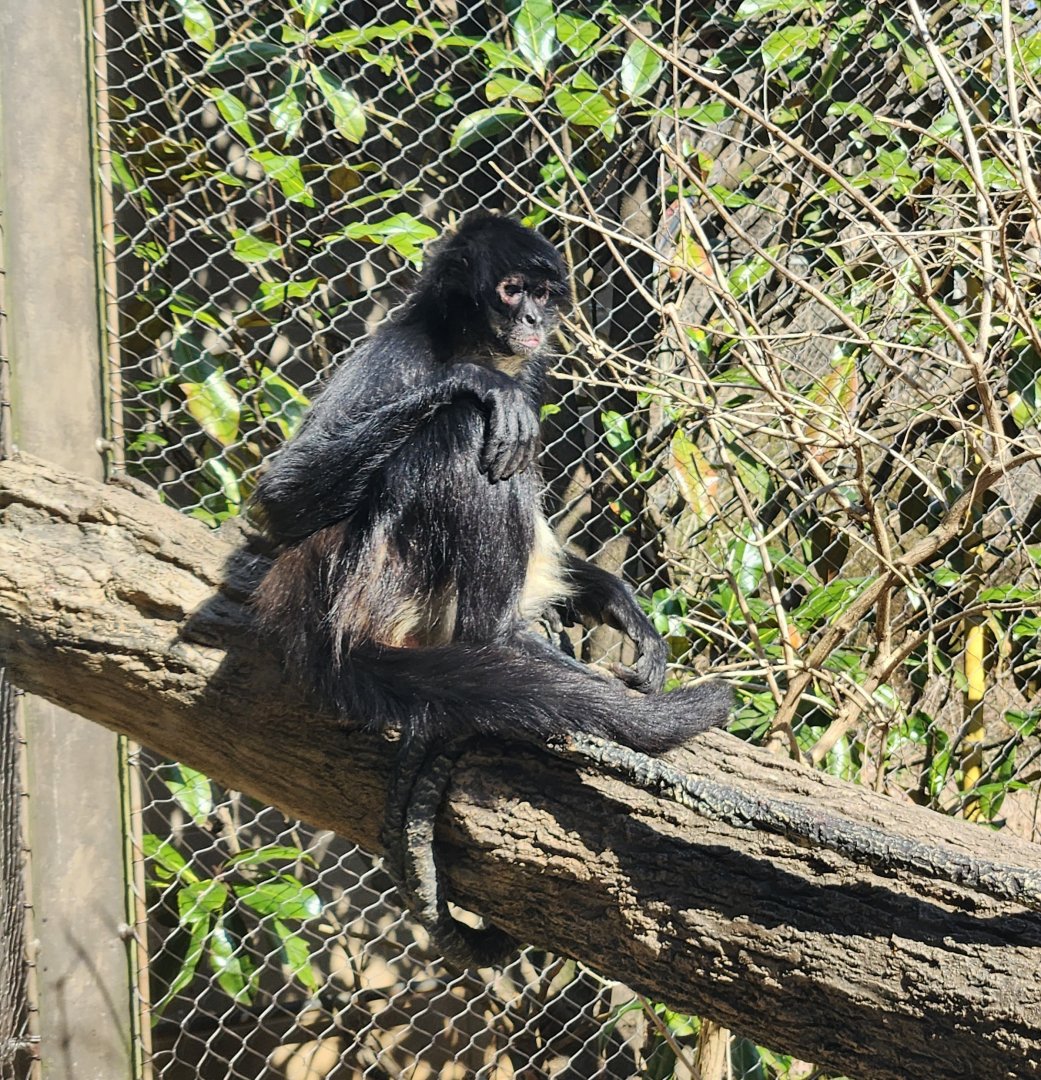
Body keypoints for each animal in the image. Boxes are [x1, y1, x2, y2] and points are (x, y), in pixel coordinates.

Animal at [249, 212, 733, 965]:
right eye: (510, 290)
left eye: (544, 293)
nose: (533, 317)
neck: (462, 339)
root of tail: (331, 624)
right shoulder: (400, 349)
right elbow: (279, 501)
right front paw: (476, 380)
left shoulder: (528, 368)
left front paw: (620, 606)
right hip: (389, 576)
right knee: (461, 426)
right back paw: (504, 641)